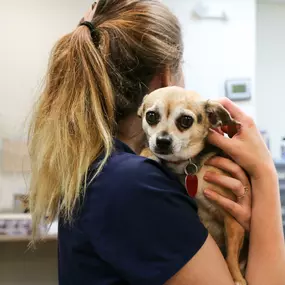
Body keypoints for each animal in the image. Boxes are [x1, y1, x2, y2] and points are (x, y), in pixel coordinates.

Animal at [138, 86, 246, 284]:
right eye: (151, 116)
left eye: (186, 120)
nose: (162, 141)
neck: (187, 167)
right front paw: (146, 153)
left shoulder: (233, 218)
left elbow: (231, 255)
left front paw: (236, 277)